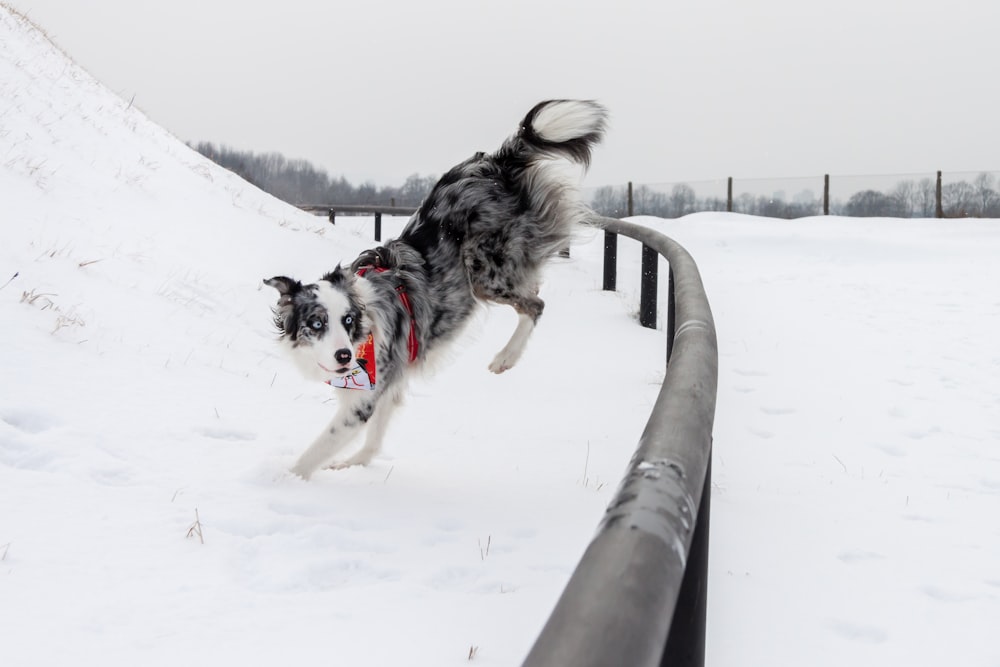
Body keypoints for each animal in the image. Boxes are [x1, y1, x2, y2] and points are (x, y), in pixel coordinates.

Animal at [266, 99, 604, 480]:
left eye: (348, 321)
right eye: (317, 323)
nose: (344, 356)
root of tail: (496, 163)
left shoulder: (364, 397)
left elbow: (317, 450)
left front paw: (283, 480)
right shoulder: (389, 383)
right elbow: (374, 437)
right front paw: (356, 463)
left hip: (486, 274)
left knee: (536, 304)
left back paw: (506, 357)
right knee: (533, 289)